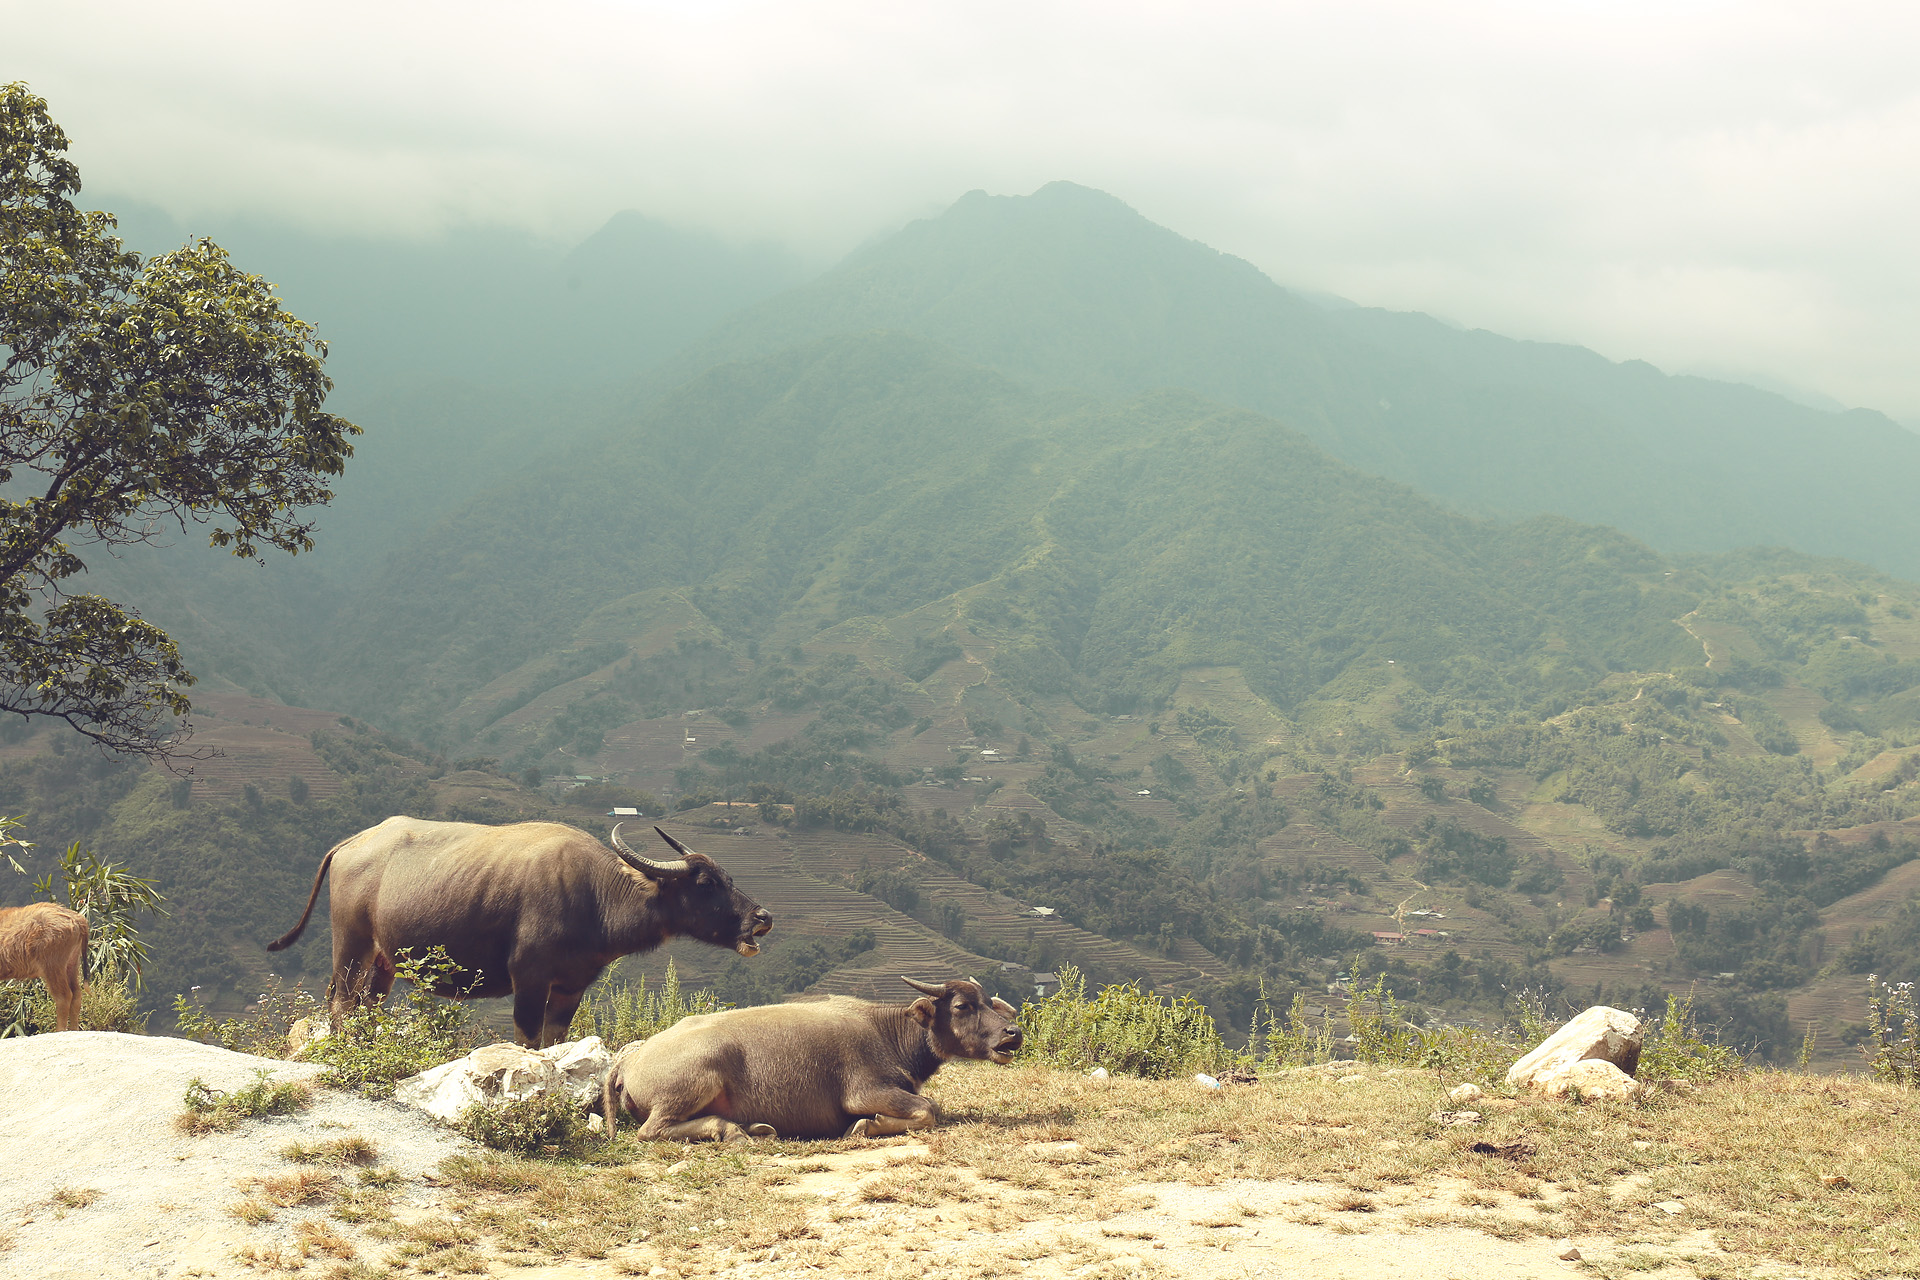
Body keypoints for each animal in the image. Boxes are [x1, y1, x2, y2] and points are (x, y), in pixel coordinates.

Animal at [268, 820, 771, 1046]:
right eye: (705, 883)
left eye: (728, 876)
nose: (762, 917)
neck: (593, 895)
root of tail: (350, 843)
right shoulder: (528, 980)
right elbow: (529, 1040)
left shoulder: (570, 987)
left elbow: (554, 1040)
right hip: (351, 947)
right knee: (341, 1004)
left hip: (383, 963)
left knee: (366, 1007)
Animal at [602, 976, 1022, 1141]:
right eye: (963, 1006)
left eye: (990, 1002)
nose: (1012, 1033)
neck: (886, 1033)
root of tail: (629, 1061)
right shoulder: (864, 1091)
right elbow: (928, 1109)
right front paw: (866, 1125)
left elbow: (933, 1106)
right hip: (698, 1077)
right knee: (650, 1131)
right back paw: (732, 1130)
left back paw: (757, 1128)